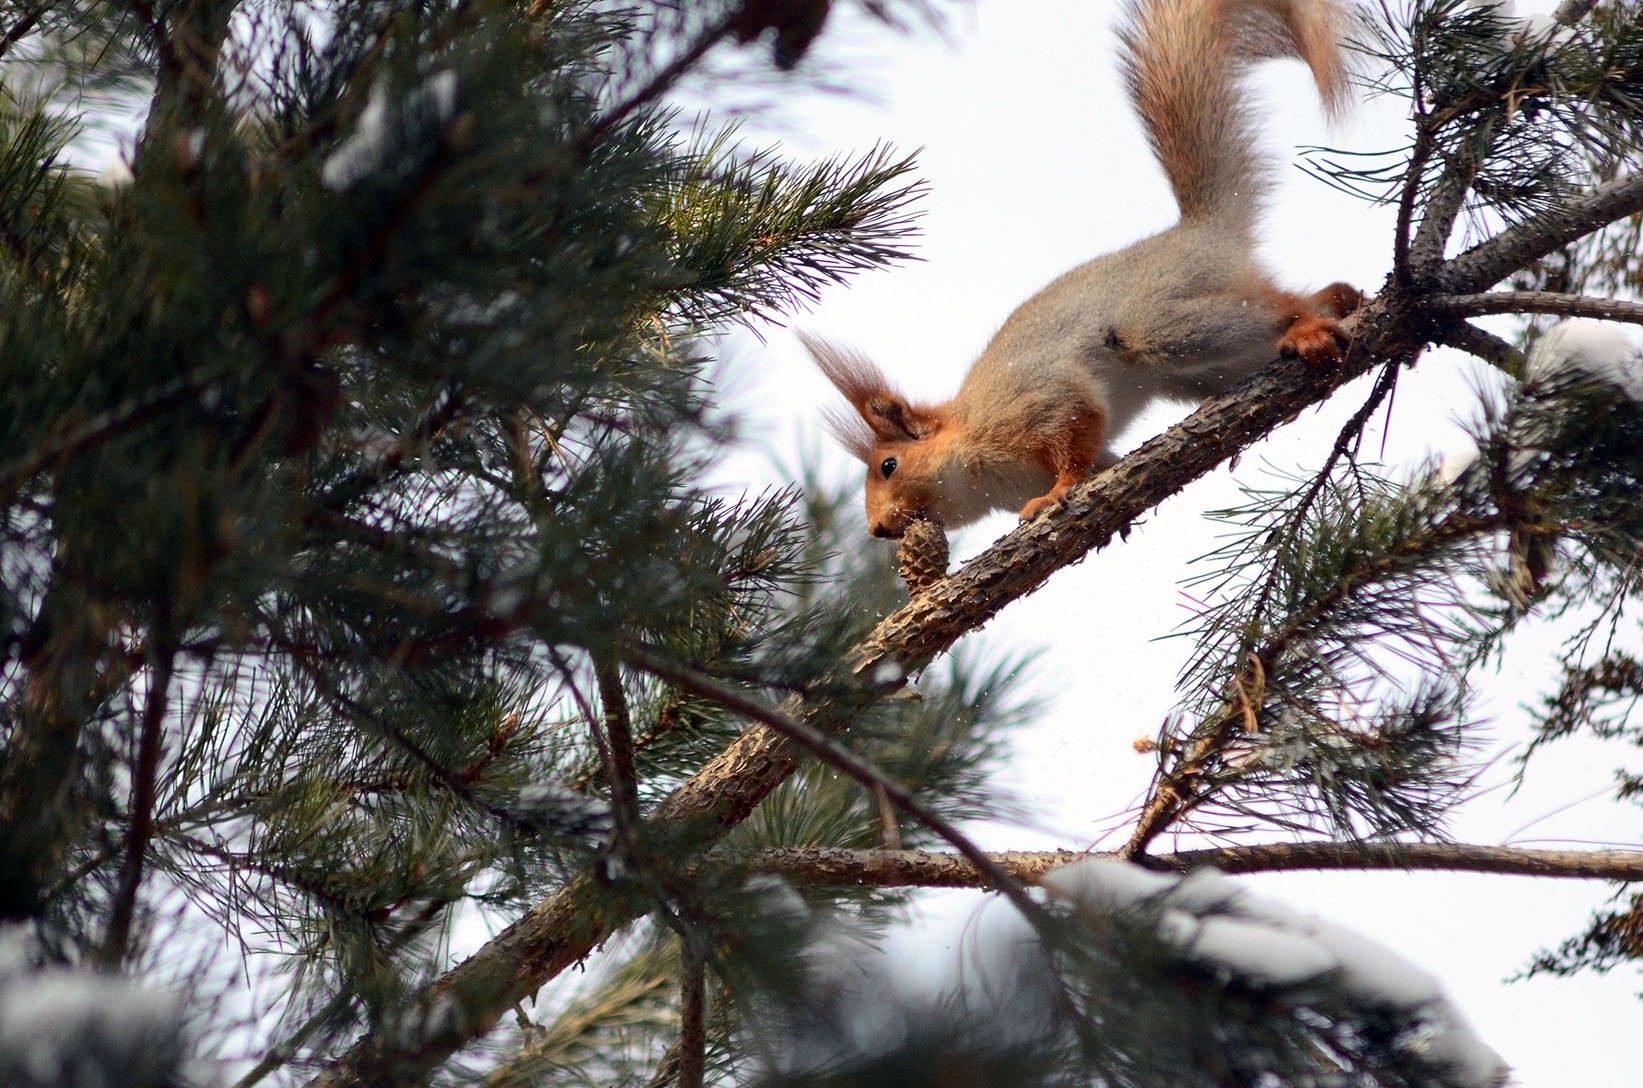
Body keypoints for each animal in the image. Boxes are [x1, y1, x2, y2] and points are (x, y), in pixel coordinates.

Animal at [808, 0, 1360, 542]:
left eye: (889, 466)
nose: (878, 529)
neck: (979, 457)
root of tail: (1203, 231)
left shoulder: (1039, 401)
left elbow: (1075, 436)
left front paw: (1056, 493)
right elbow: (1099, 458)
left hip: (1164, 322)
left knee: (1273, 307)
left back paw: (1308, 328)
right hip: (1199, 373)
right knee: (1302, 301)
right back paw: (1341, 302)